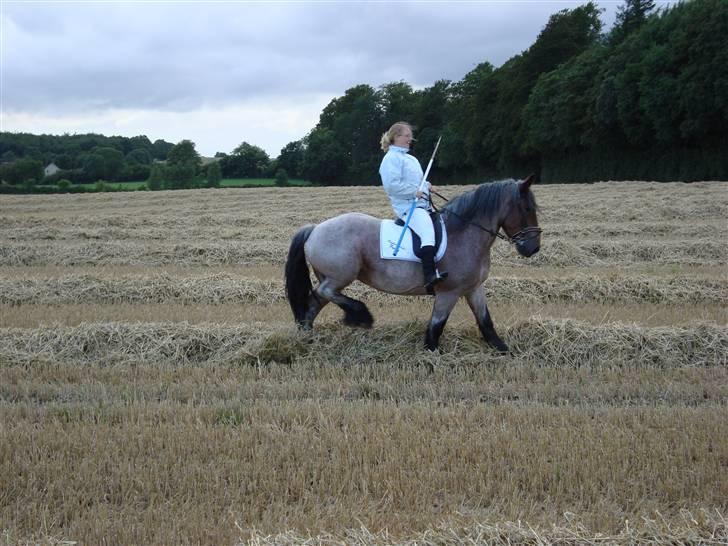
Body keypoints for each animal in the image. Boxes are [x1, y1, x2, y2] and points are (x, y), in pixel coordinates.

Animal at [284, 176, 540, 350]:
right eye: (527, 208)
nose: (533, 248)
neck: (465, 232)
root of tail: (315, 228)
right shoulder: (449, 293)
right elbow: (436, 326)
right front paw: (430, 353)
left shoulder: (474, 289)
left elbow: (486, 321)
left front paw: (504, 350)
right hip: (340, 276)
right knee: (324, 292)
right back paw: (360, 314)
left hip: (331, 278)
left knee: (314, 303)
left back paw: (307, 339)